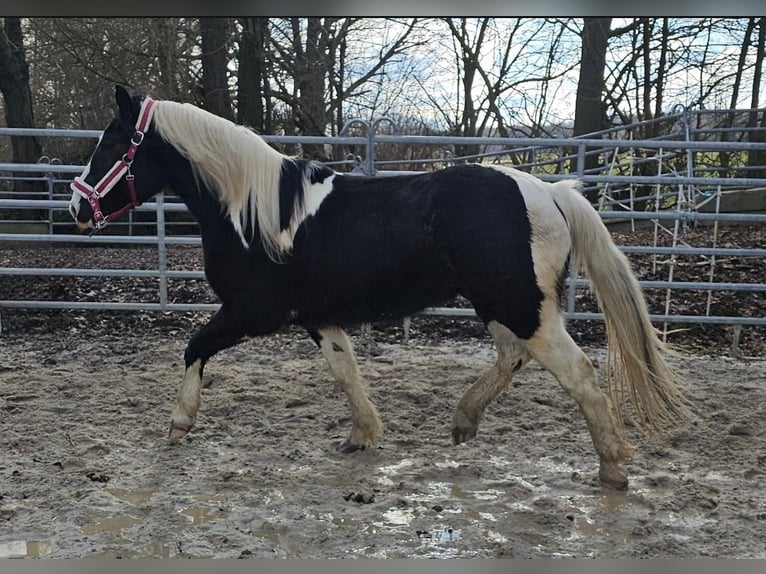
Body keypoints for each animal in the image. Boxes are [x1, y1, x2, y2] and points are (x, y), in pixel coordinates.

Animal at [69, 85, 688, 490]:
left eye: (112, 143)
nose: (77, 207)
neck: (251, 211)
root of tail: (550, 191)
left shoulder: (250, 312)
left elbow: (193, 347)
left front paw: (179, 423)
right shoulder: (317, 316)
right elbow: (346, 370)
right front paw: (363, 435)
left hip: (519, 305)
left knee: (578, 374)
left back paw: (612, 468)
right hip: (503, 305)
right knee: (513, 357)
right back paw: (464, 422)